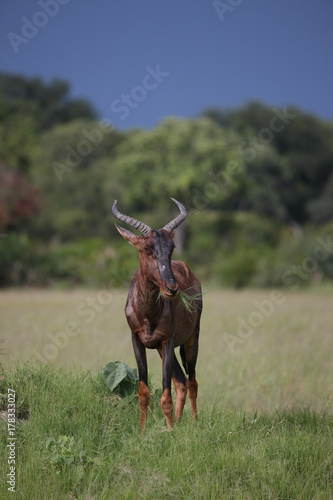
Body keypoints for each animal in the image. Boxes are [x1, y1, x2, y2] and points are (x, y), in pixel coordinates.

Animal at [113, 199, 202, 430]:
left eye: (171, 247)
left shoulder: (167, 341)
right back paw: (178, 424)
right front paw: (143, 432)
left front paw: (169, 432)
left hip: (192, 339)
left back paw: (194, 424)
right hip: (163, 350)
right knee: (181, 382)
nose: (171, 288)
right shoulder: (137, 341)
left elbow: (165, 396)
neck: (147, 314)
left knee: (192, 382)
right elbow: (143, 392)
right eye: (146, 248)